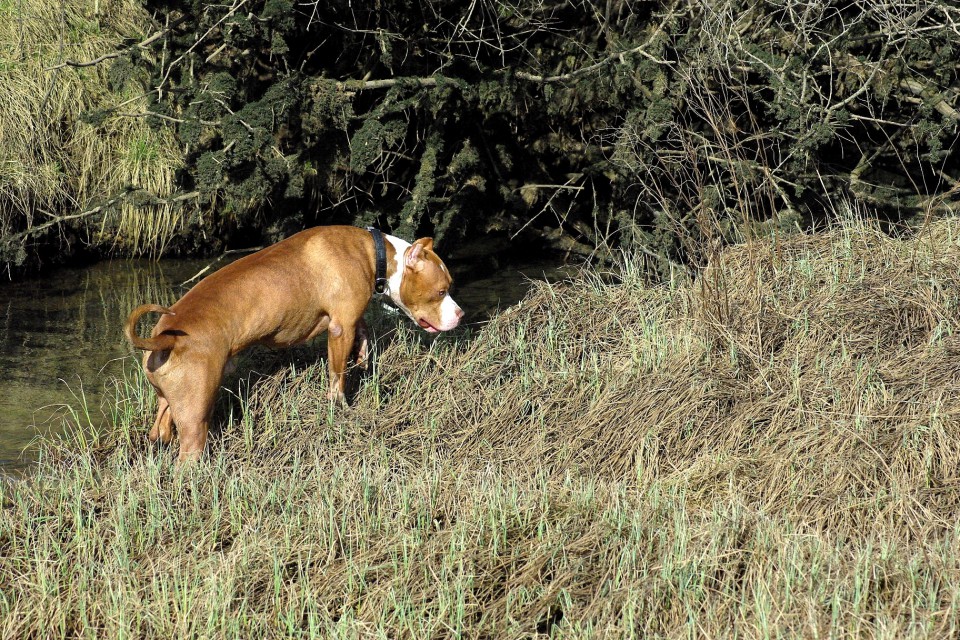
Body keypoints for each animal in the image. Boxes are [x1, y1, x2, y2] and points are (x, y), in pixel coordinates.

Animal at [123, 225, 462, 460]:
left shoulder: (348, 318)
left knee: (159, 431)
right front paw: (340, 407)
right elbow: (338, 376)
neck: (377, 253)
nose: (460, 314)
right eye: (441, 291)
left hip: (168, 406)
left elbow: (363, 328)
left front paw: (364, 354)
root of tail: (163, 337)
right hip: (196, 415)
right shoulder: (340, 329)